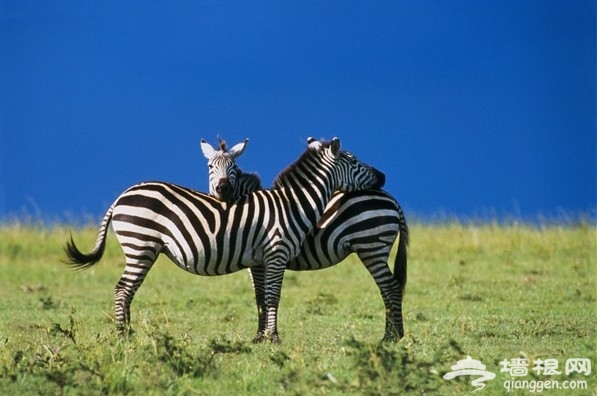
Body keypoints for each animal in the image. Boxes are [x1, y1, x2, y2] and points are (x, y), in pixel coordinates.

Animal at [64, 138, 382, 342]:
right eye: (354, 161)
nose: (384, 177)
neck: (291, 205)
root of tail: (122, 195)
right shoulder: (276, 253)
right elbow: (273, 296)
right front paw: (274, 338)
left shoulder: (260, 258)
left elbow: (262, 297)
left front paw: (262, 337)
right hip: (140, 245)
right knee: (122, 289)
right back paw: (122, 336)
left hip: (142, 248)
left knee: (127, 290)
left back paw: (127, 333)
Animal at [200, 138, 410, 340]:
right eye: (210, 167)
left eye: (234, 167)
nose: (223, 189)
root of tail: (392, 199)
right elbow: (260, 295)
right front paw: (261, 335)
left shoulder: (261, 260)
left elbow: (264, 295)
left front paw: (263, 336)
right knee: (387, 288)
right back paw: (392, 334)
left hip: (371, 246)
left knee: (390, 287)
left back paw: (391, 337)